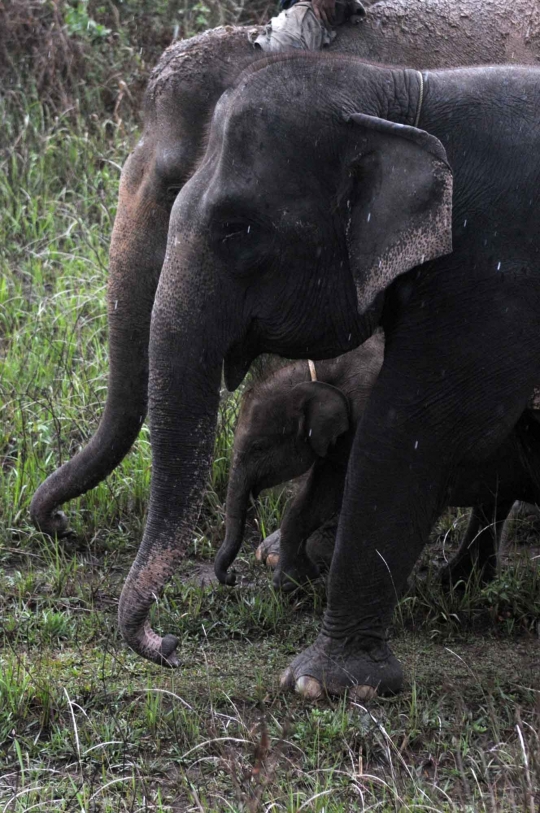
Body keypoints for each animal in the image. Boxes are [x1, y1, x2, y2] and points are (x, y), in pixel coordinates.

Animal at [214, 334, 540, 592]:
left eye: (257, 448)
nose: (230, 578)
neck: (328, 369)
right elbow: (319, 495)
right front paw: (292, 584)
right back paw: (458, 583)